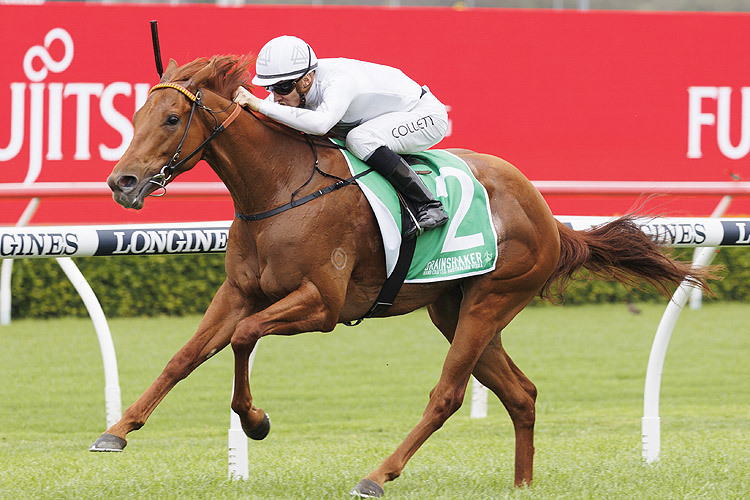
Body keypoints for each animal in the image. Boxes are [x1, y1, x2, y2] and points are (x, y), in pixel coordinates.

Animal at [95, 55, 712, 496]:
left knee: (448, 395)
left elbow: (244, 338)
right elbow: (184, 357)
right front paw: (117, 431)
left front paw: (256, 421)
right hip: (455, 309)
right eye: (135, 117)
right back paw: (521, 485)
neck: (280, 188)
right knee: (522, 394)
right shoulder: (239, 291)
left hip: (490, 300)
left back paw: (377, 475)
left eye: (172, 118)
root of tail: (549, 217)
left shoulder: (321, 304)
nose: (122, 182)